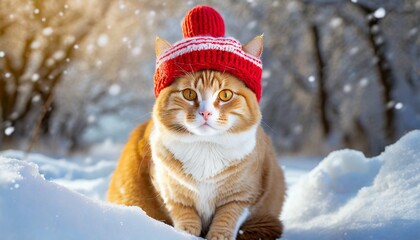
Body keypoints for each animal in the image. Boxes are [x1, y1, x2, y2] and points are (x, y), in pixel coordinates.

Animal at [107, 36, 286, 240]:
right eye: (189, 93)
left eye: (225, 95)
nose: (205, 113)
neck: (205, 148)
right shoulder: (174, 197)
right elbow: (186, 222)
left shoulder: (241, 197)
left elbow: (226, 220)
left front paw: (218, 236)